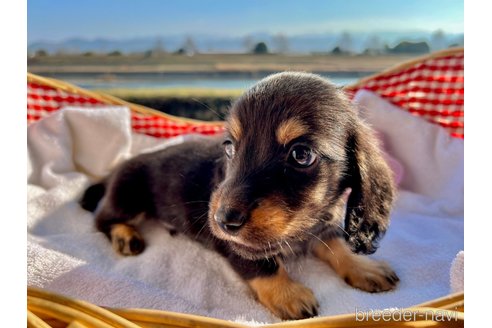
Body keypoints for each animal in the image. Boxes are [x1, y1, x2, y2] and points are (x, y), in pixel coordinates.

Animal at [79, 72, 398, 320]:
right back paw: (125, 235)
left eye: (302, 154)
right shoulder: (239, 247)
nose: (223, 221)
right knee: (101, 219)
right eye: (230, 146)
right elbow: (264, 265)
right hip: (127, 199)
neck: (302, 226)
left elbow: (338, 244)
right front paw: (288, 293)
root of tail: (116, 169)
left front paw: (363, 267)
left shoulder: (322, 224)